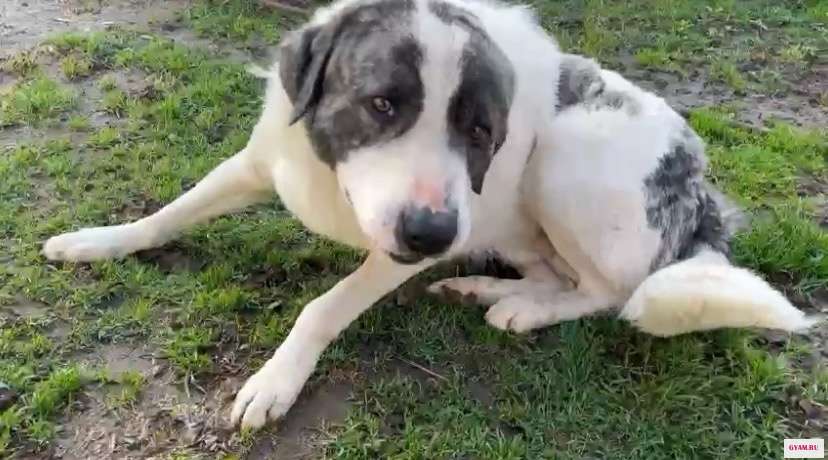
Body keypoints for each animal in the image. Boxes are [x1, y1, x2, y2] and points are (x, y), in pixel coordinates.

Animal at [43, 0, 817, 430]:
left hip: (566, 154)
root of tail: (702, 189)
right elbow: (172, 210)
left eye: (481, 130)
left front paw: (276, 380)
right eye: (384, 103)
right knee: (556, 274)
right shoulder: (263, 163)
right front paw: (100, 240)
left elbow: (322, 307)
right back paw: (484, 286)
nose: (433, 234)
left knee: (607, 292)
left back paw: (518, 306)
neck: (334, 180)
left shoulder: (398, 246)